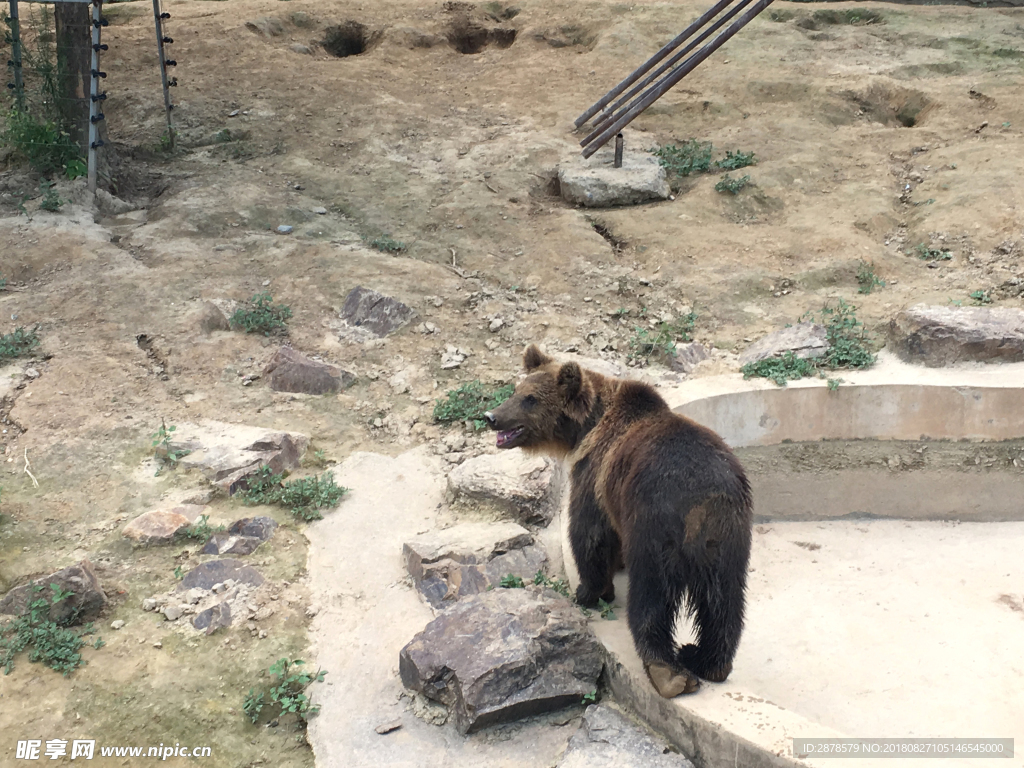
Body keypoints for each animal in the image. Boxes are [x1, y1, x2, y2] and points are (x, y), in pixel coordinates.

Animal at [479, 346, 753, 700]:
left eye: (530, 399)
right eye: (516, 390)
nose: (491, 416)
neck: (585, 430)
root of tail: (701, 502)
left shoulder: (594, 473)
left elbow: (589, 533)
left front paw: (589, 590)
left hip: (654, 523)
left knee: (651, 595)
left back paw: (668, 673)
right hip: (728, 535)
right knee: (724, 600)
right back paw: (706, 661)